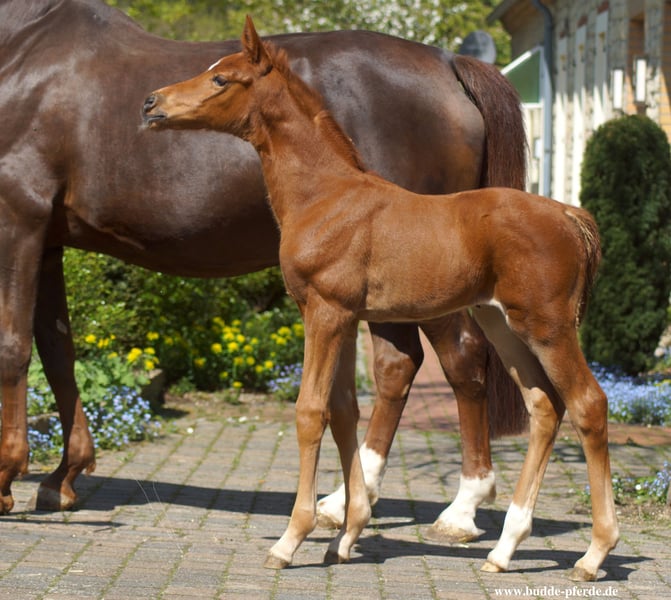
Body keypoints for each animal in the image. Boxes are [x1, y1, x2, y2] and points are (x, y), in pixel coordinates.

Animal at [0, 0, 527, 541]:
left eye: (221, 79)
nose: (150, 104)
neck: (25, 47)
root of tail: (448, 63)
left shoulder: (18, 218)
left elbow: (14, 347)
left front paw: (7, 478)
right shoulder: (48, 242)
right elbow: (58, 352)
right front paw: (62, 478)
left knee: (460, 358)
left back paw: (461, 508)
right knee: (397, 366)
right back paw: (347, 501)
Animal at [142, 16, 619, 582]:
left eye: (221, 78)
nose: (150, 103)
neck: (326, 195)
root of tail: (569, 214)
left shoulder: (324, 313)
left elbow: (310, 412)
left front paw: (292, 538)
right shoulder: (343, 317)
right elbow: (345, 410)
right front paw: (346, 534)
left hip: (547, 325)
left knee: (588, 403)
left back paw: (593, 554)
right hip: (502, 323)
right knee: (544, 404)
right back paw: (504, 550)